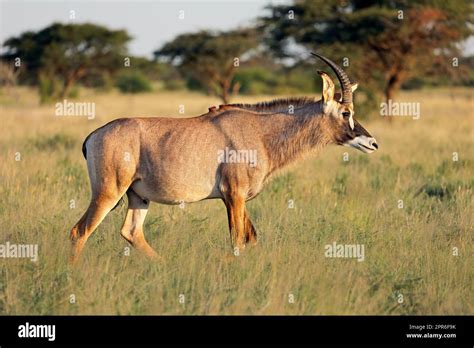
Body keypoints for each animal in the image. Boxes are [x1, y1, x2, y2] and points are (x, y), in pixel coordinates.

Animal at [69, 53, 378, 262]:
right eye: (346, 113)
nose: (372, 143)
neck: (261, 132)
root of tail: (94, 135)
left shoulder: (239, 199)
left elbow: (251, 238)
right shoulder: (234, 195)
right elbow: (237, 241)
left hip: (138, 196)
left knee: (131, 232)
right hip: (108, 193)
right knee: (79, 231)